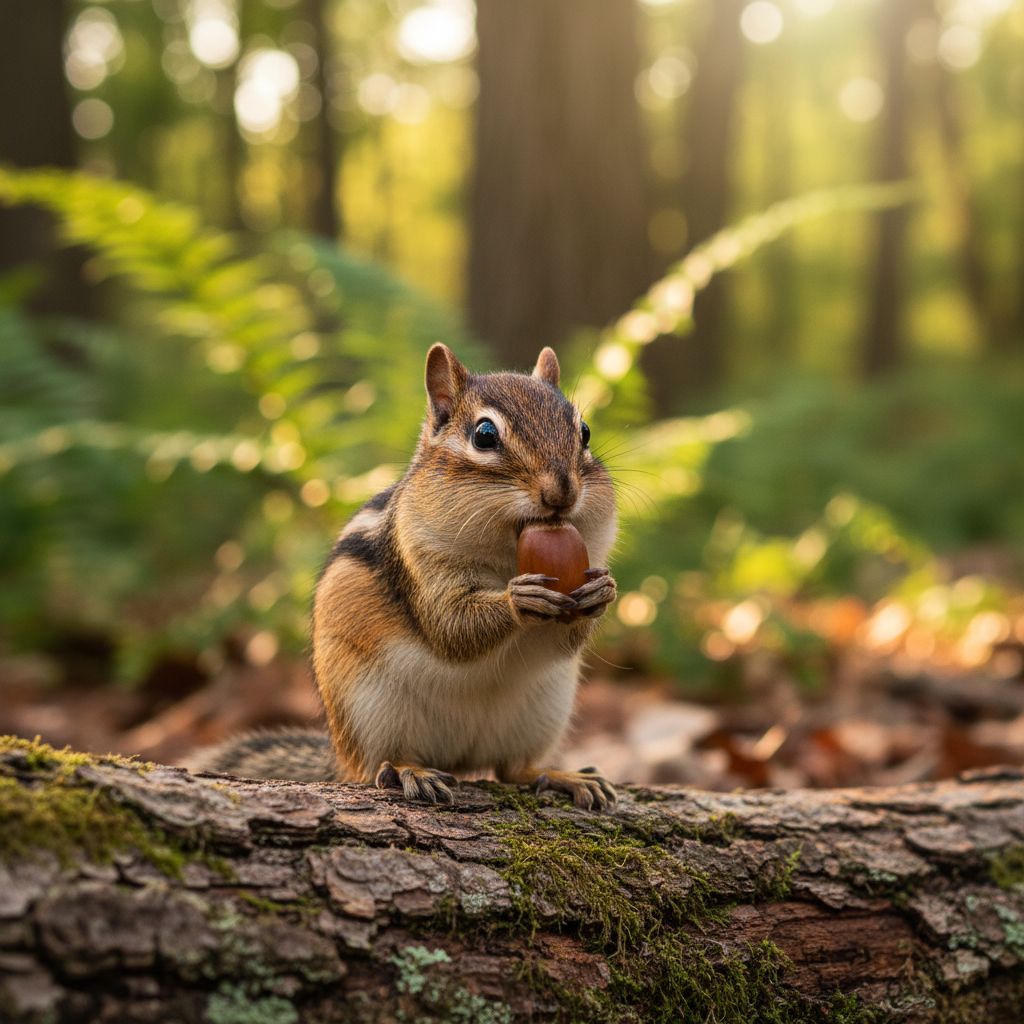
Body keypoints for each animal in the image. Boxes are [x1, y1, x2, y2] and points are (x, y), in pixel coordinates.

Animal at [193, 344, 618, 809]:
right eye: (485, 435)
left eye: (585, 432)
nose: (562, 492)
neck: (506, 554)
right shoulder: (418, 560)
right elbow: (450, 626)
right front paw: (517, 599)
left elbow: (567, 636)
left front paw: (602, 590)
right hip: (370, 712)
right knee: (377, 766)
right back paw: (408, 771)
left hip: (543, 712)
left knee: (514, 769)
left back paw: (562, 775)